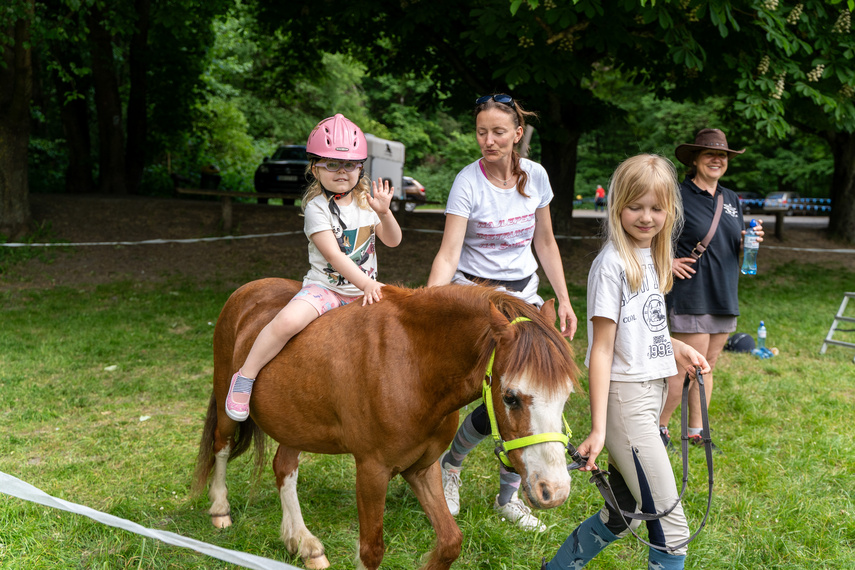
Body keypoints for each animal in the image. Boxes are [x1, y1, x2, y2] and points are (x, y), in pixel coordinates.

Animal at [195, 278, 580, 568]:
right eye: (511, 397)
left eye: (566, 395)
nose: (555, 491)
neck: (414, 364)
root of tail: (247, 291)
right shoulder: (371, 471)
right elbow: (372, 552)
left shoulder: (422, 468)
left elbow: (450, 542)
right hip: (229, 404)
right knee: (221, 446)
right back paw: (220, 510)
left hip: (295, 423)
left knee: (284, 467)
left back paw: (303, 543)